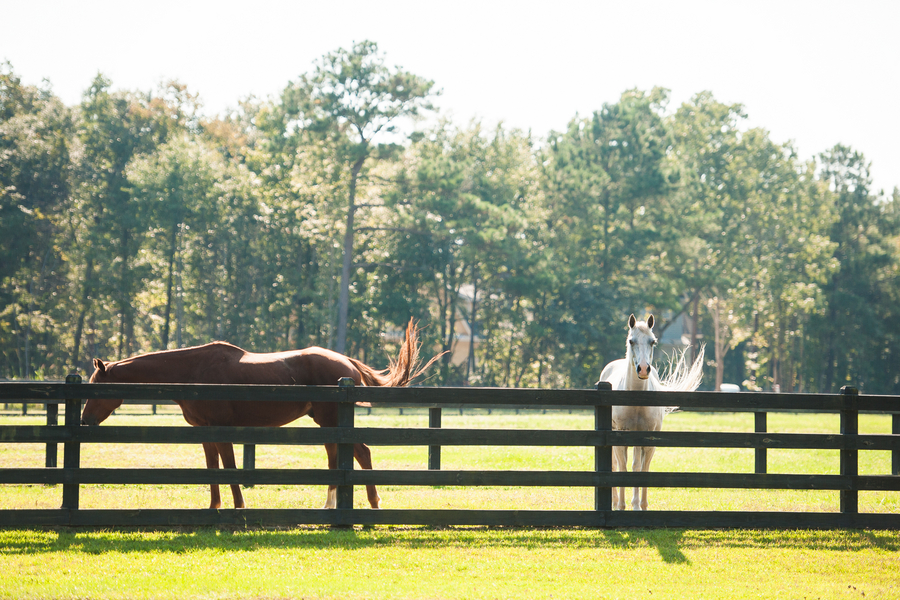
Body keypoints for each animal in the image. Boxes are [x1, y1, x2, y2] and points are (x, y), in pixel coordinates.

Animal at [81, 322, 440, 508]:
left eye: (95, 385)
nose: (85, 420)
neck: (193, 372)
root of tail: (346, 362)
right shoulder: (205, 433)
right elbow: (213, 471)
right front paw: (214, 507)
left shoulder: (222, 430)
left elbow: (229, 469)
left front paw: (239, 507)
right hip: (326, 424)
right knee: (337, 458)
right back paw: (331, 506)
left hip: (331, 421)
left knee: (361, 452)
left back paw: (373, 502)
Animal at [596, 314, 704, 510]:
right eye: (631, 341)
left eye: (652, 341)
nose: (644, 369)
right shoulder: (620, 437)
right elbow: (622, 468)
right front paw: (621, 505)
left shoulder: (648, 438)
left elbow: (642, 469)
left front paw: (641, 505)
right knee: (615, 465)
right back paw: (615, 502)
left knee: (636, 465)